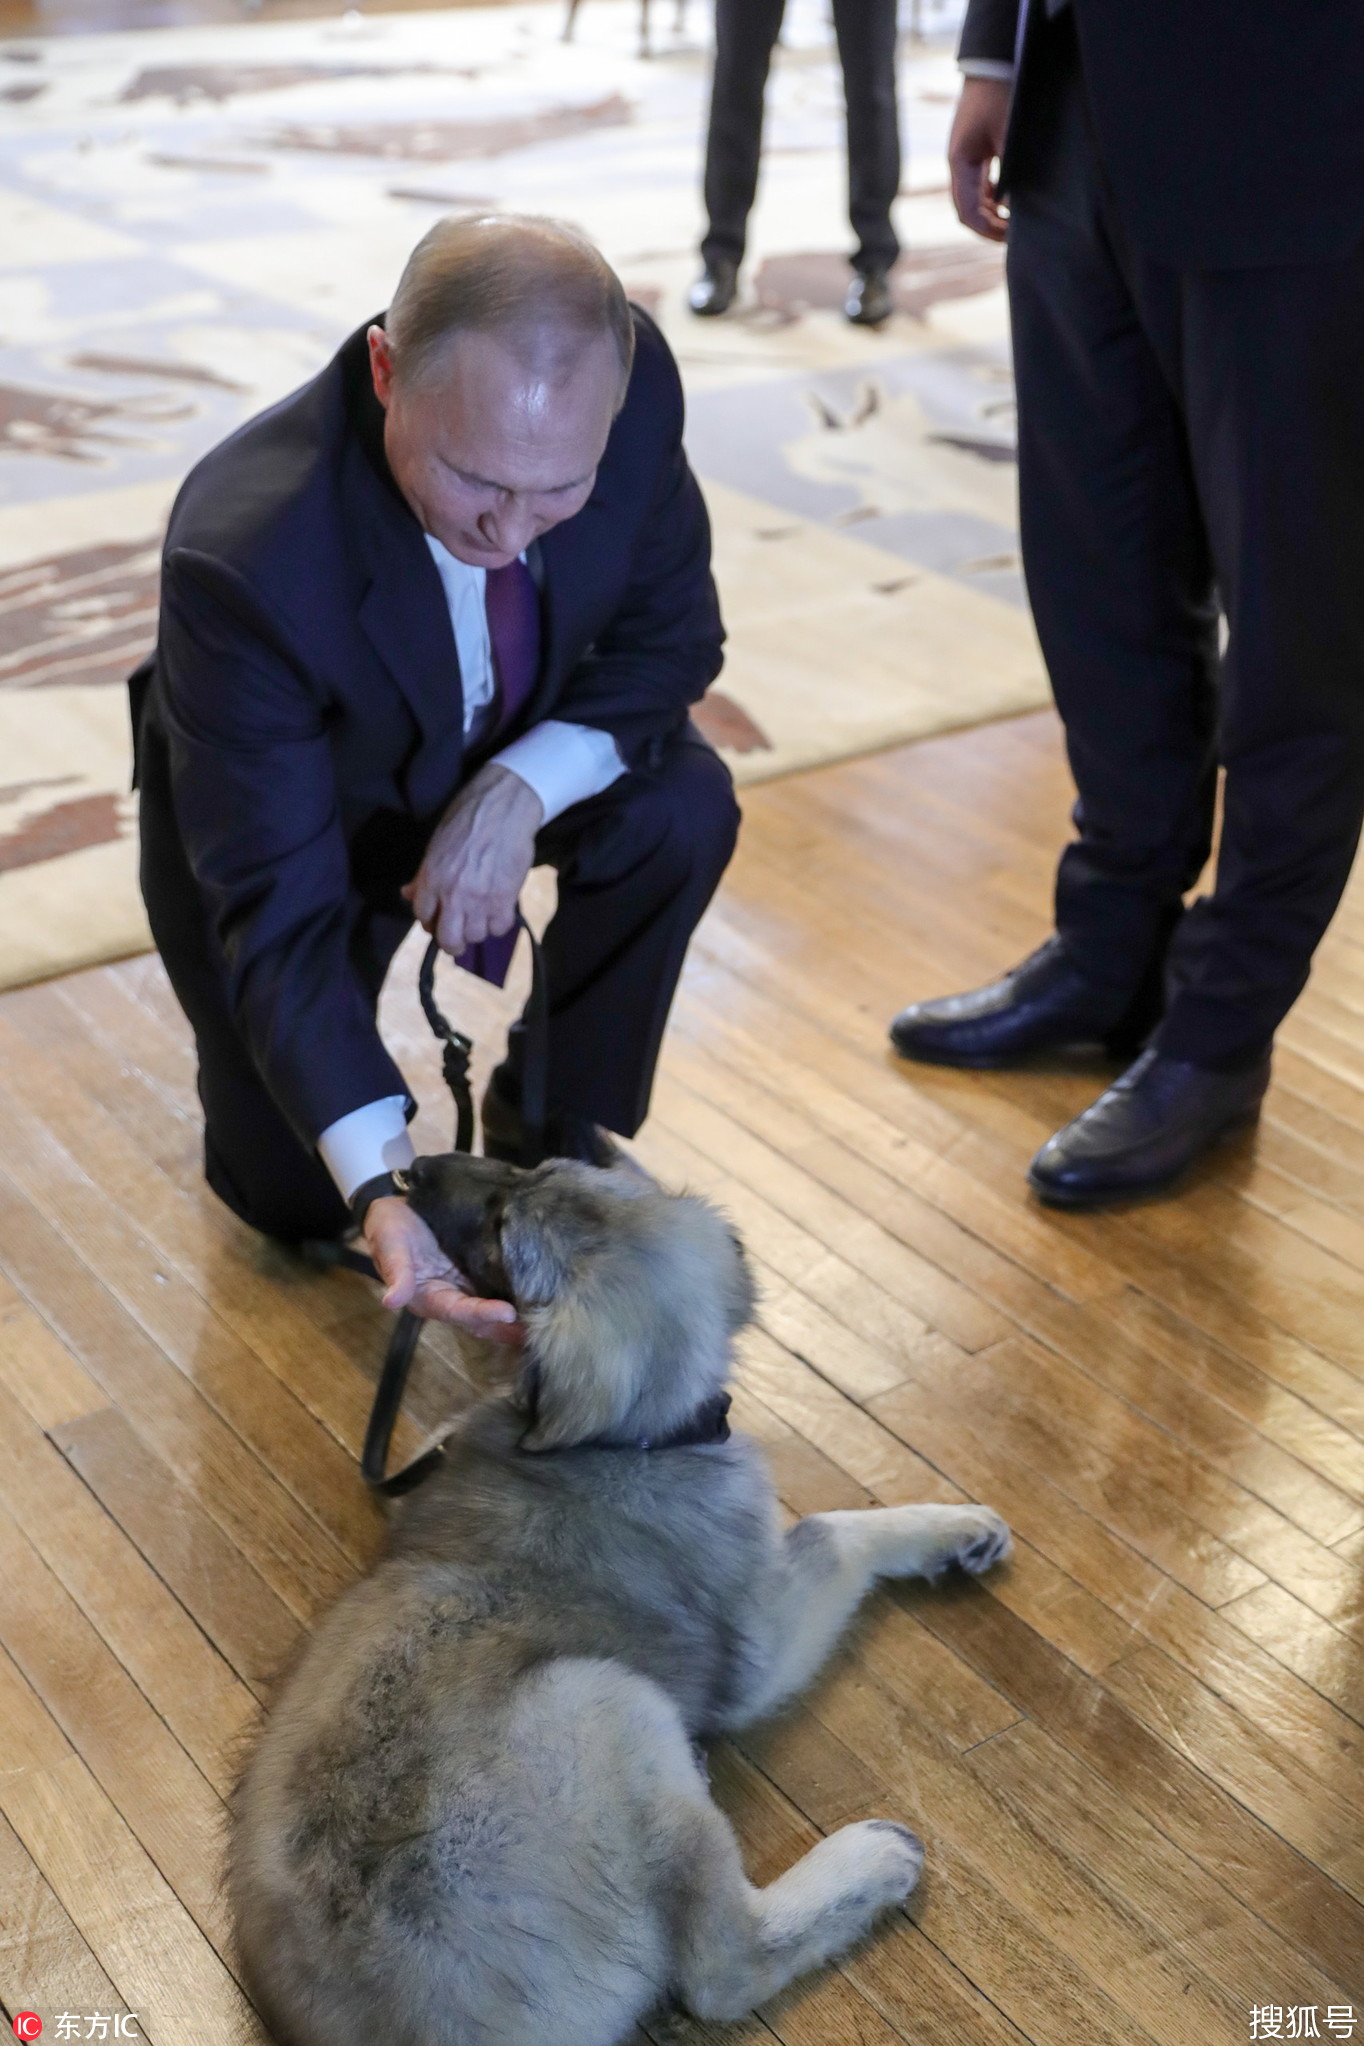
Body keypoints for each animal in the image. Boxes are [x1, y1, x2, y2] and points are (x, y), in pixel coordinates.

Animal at [229, 1162, 1010, 2037]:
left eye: (520, 1187)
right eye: (505, 1228)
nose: (407, 1173)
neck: (631, 1442)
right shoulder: (761, 1643)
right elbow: (833, 1531)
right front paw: (953, 1526)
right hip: (604, 1699)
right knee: (722, 1968)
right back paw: (869, 1858)